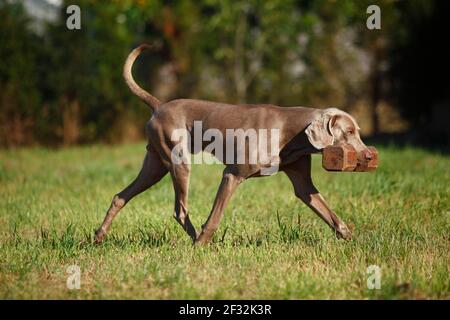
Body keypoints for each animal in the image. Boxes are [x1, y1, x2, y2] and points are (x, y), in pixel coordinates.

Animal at [94, 44, 372, 245]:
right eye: (348, 131)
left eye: (358, 132)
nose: (369, 156)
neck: (290, 133)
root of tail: (159, 105)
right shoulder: (232, 175)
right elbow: (214, 218)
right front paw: (202, 245)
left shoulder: (303, 183)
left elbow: (330, 214)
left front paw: (353, 240)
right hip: (178, 161)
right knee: (179, 209)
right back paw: (195, 241)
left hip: (155, 165)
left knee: (120, 197)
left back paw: (99, 236)